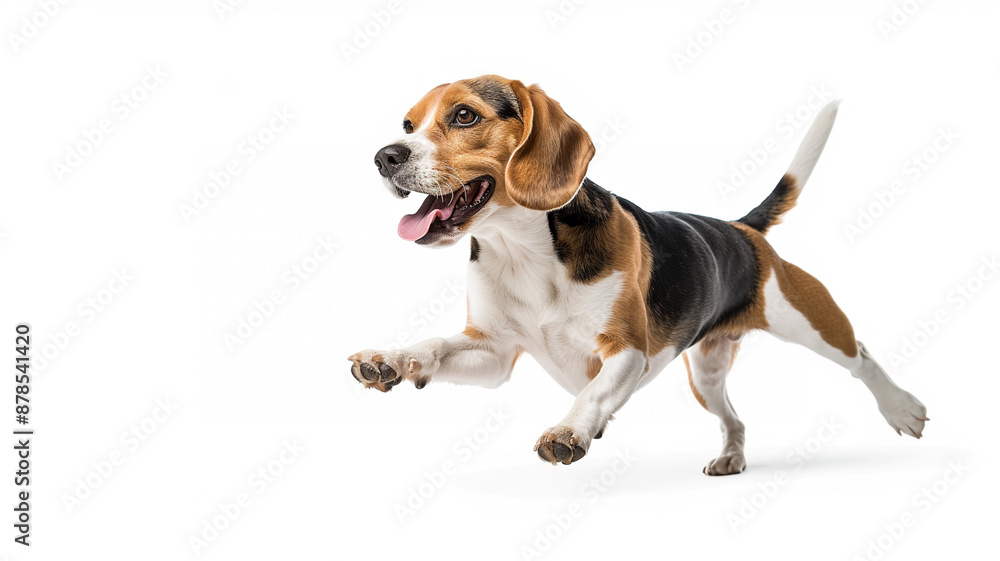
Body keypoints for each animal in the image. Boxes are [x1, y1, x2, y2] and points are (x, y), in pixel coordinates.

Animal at [354, 75, 928, 472]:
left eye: (464, 116)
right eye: (408, 125)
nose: (384, 157)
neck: (522, 250)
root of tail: (742, 229)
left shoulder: (627, 349)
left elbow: (591, 394)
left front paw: (569, 431)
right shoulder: (492, 350)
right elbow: (433, 345)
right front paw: (391, 360)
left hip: (808, 321)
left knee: (861, 357)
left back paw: (903, 409)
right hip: (706, 375)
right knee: (735, 417)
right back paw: (732, 457)